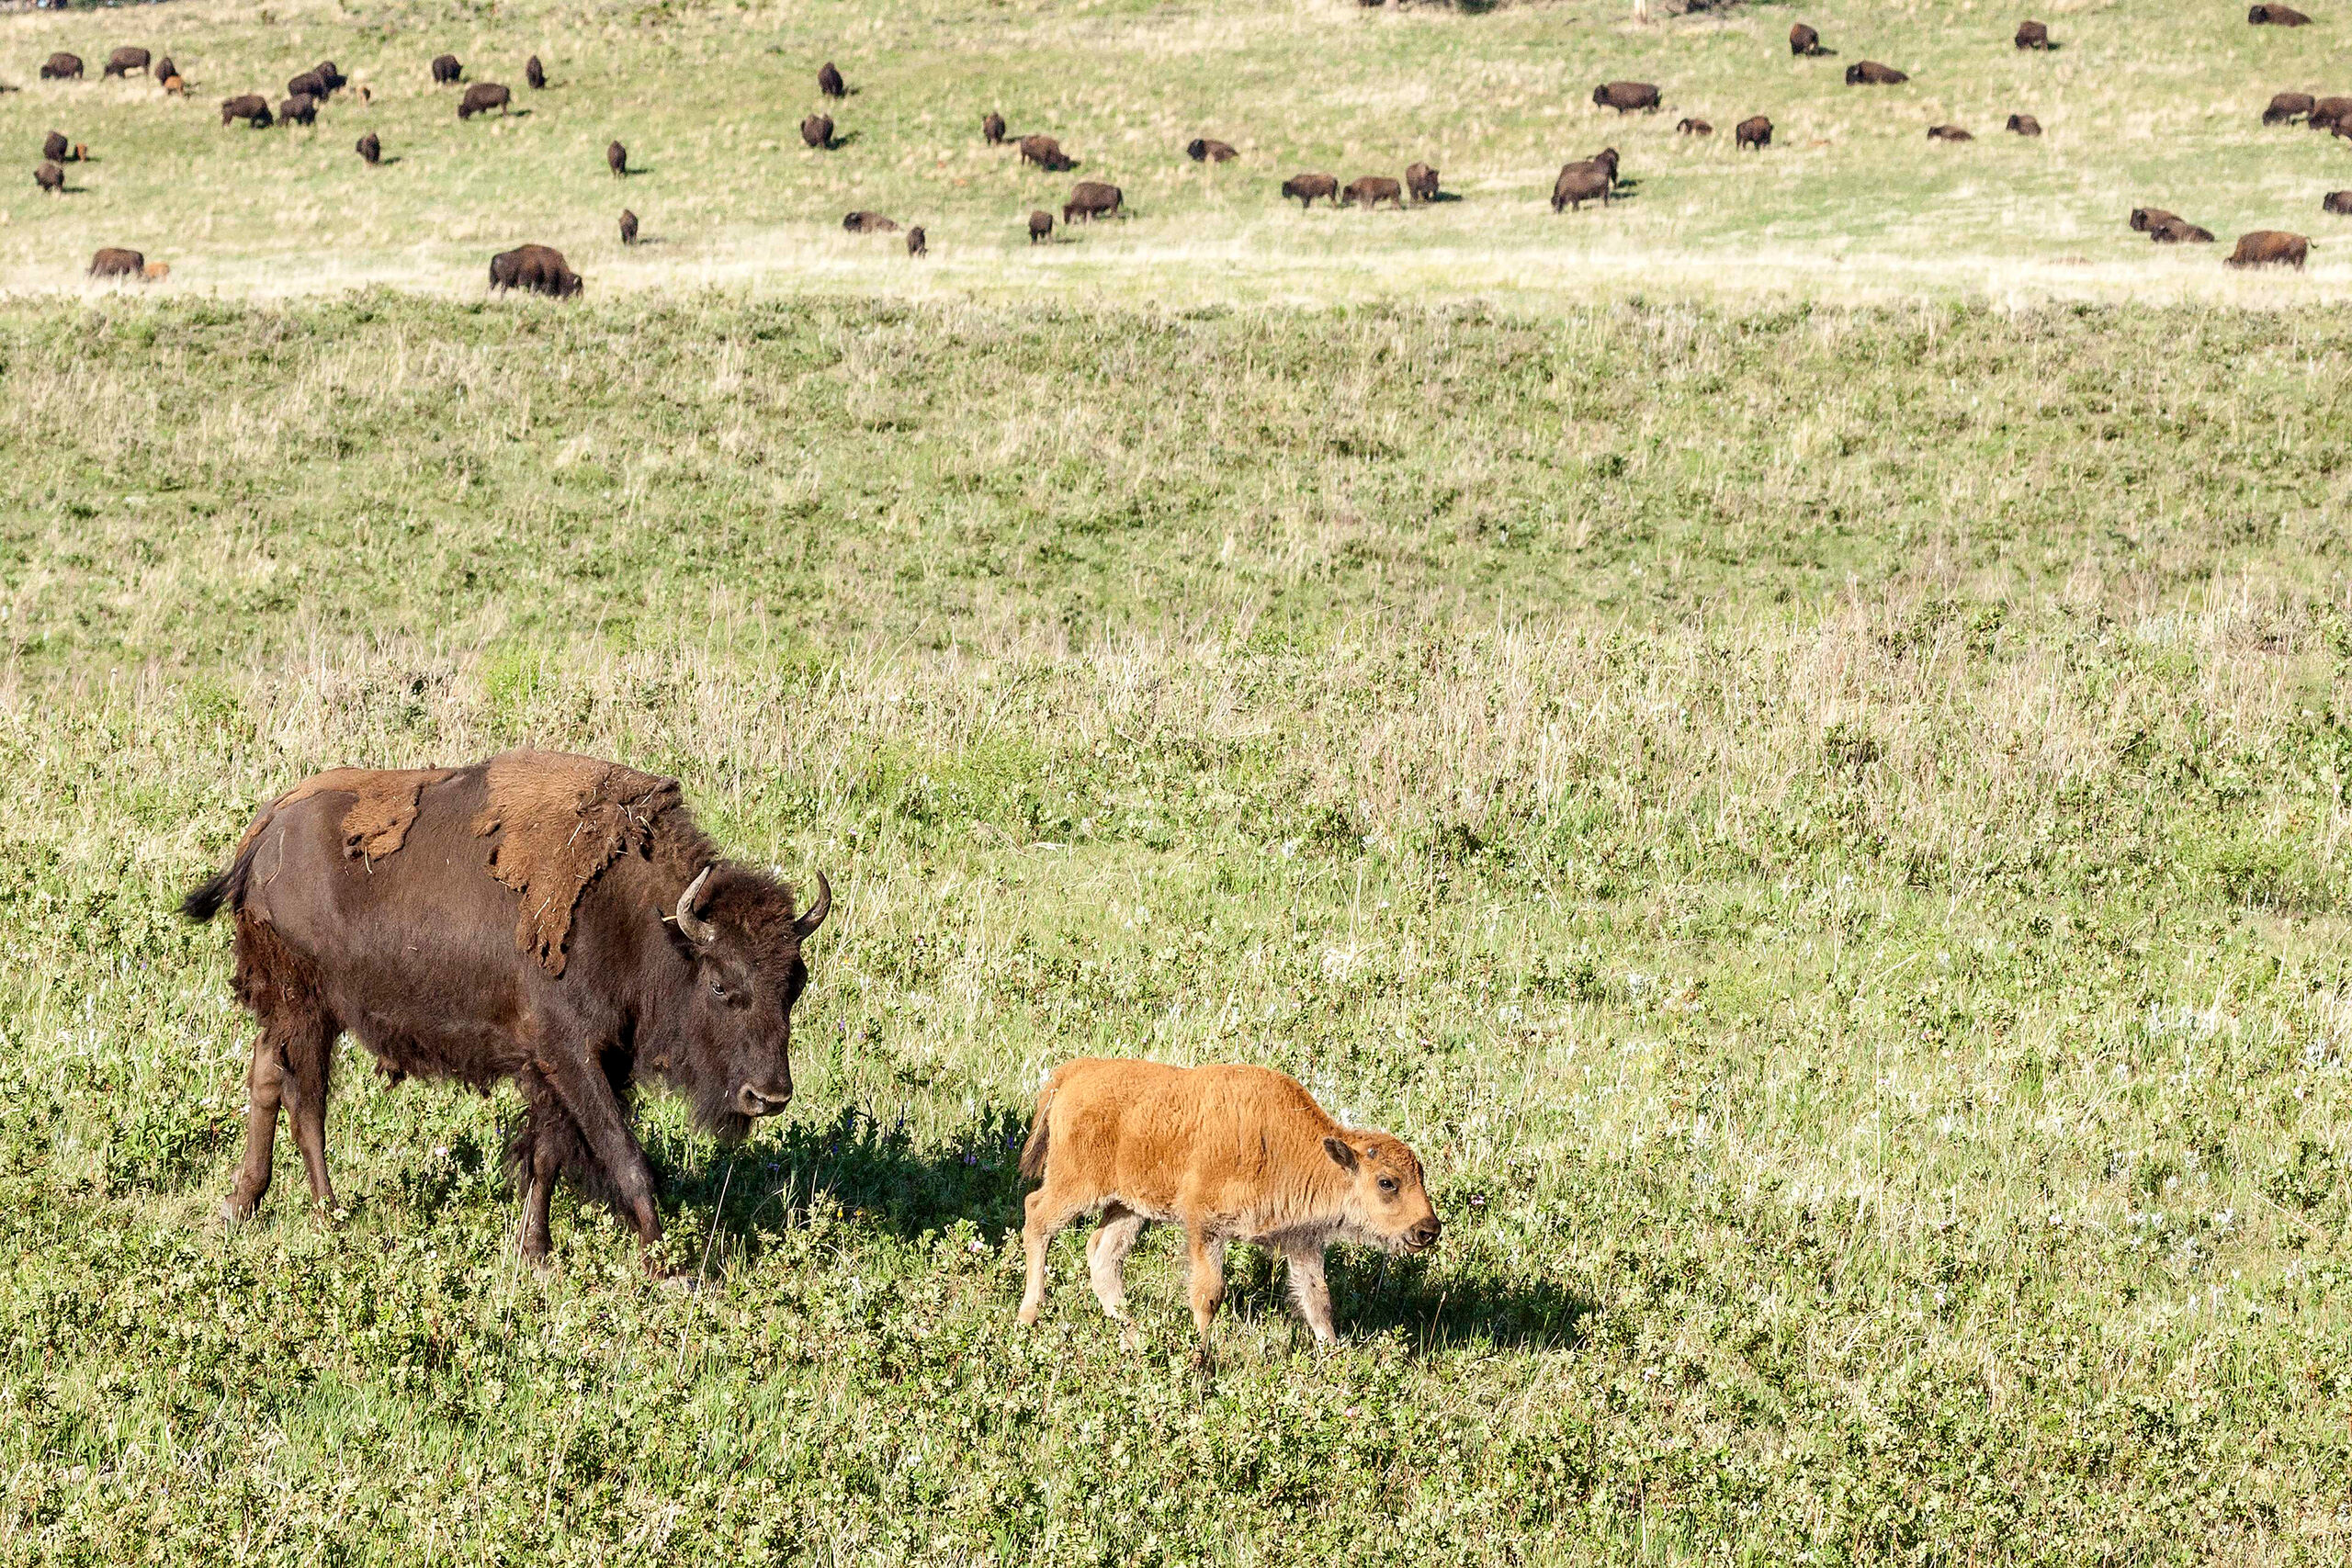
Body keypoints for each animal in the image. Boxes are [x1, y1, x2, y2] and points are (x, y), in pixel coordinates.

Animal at [180, 753, 828, 1263]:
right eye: (720, 984)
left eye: (794, 982)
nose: (770, 1095)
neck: (646, 919)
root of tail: (267, 828)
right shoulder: (570, 1056)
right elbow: (624, 1154)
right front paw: (663, 1263)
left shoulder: (563, 1067)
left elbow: (545, 1157)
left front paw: (535, 1253)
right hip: (306, 1007)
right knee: (305, 1102)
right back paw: (329, 1214)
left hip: (286, 1007)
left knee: (267, 1079)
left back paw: (241, 1206)